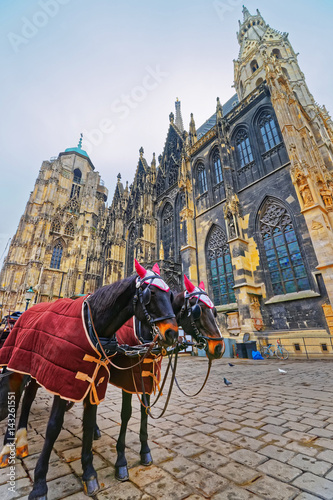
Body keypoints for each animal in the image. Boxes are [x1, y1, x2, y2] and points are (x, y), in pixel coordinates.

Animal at [0, 262, 178, 500]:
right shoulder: (64, 379)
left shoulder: (109, 380)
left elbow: (118, 414)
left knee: (29, 397)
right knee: (19, 395)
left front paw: (93, 472)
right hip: (20, 364)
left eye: (172, 296)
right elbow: (53, 427)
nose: (173, 335)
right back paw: (11, 444)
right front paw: (39, 486)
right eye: (150, 294)